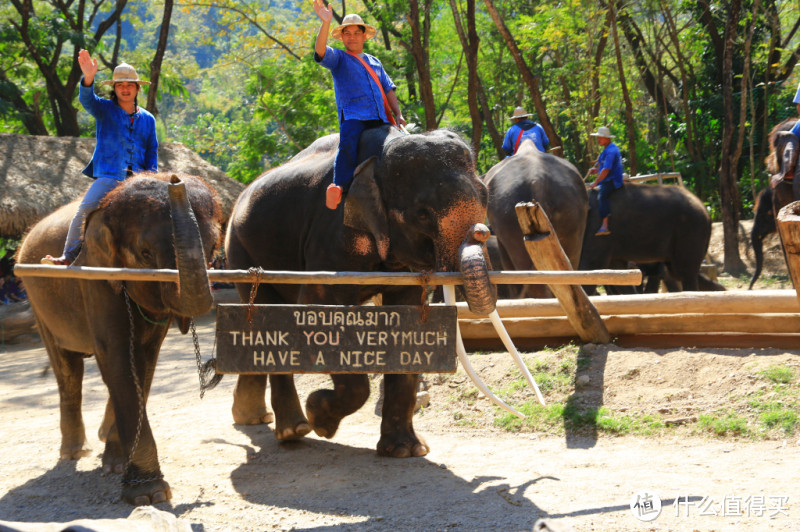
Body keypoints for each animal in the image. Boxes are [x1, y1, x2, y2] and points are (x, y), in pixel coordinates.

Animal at [16, 172, 222, 504]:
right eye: (145, 254)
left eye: (215, 248)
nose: (174, 179)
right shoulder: (94, 274)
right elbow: (116, 355)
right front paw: (149, 494)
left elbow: (144, 361)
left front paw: (116, 465)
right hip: (36, 297)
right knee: (67, 370)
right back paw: (74, 453)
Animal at [225, 123, 500, 458]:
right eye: (422, 214)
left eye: (486, 195)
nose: (481, 233)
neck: (379, 158)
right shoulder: (332, 237)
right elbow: (322, 310)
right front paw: (320, 417)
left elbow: (407, 322)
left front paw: (406, 451)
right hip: (240, 252)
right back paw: (295, 430)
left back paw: (252, 417)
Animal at [580, 184, 708, 294]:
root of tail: (703, 208)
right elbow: (617, 271)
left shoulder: (598, 230)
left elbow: (589, 267)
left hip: (689, 232)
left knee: (684, 272)